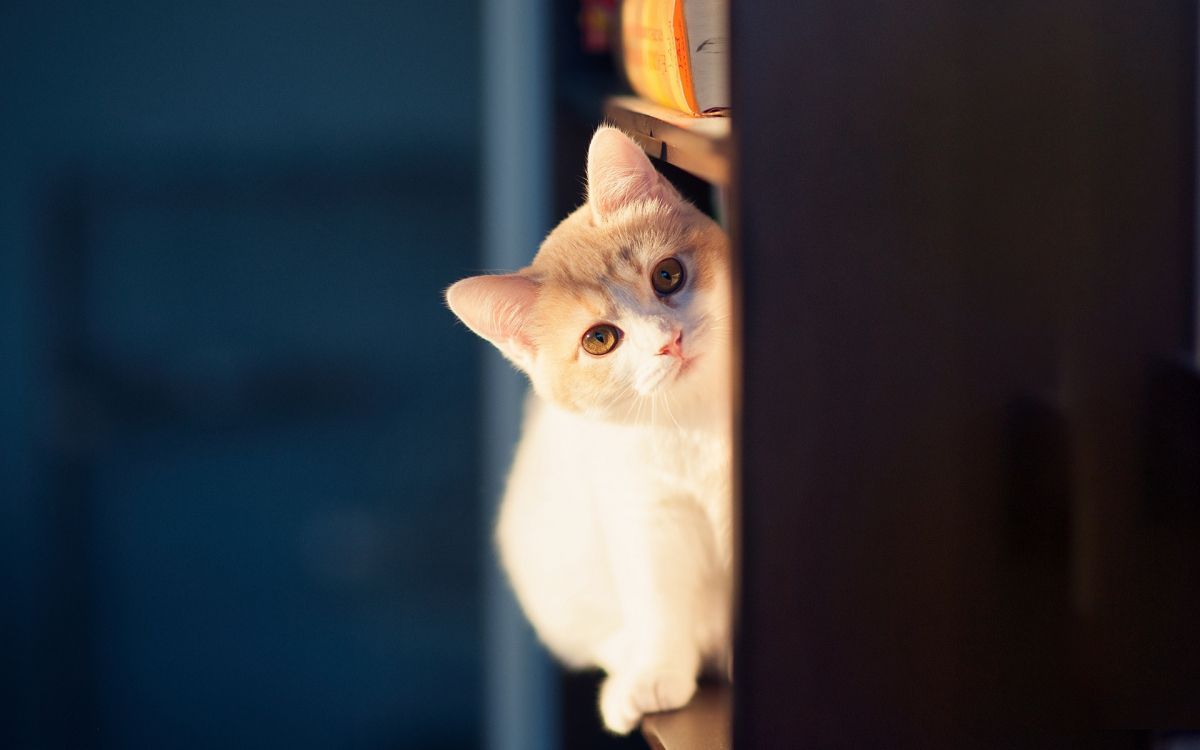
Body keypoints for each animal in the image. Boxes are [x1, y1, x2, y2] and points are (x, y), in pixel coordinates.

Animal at [448, 124, 734, 729]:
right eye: (599, 339)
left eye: (668, 275)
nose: (669, 341)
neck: (693, 419)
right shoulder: (643, 509)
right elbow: (656, 594)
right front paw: (655, 673)